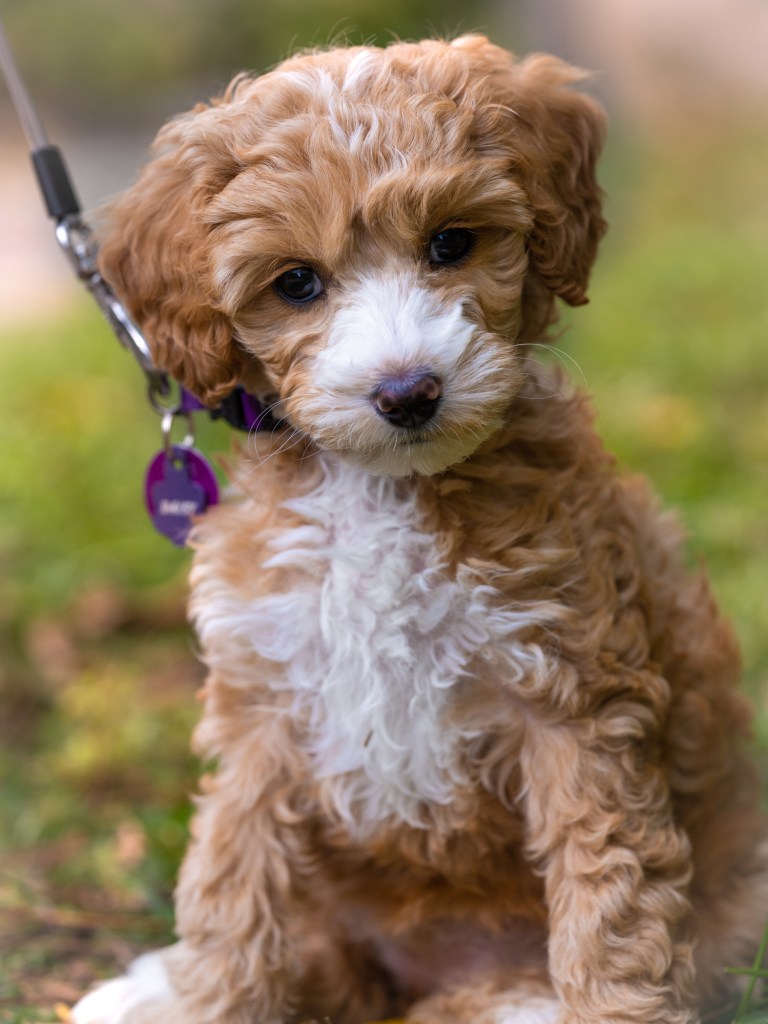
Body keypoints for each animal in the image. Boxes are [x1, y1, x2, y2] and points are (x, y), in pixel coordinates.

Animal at [70, 32, 765, 1024]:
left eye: (450, 243)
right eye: (296, 283)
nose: (407, 391)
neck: (381, 491)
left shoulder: (577, 696)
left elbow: (610, 894)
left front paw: (616, 1007)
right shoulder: (265, 702)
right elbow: (234, 878)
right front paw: (210, 997)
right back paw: (153, 990)